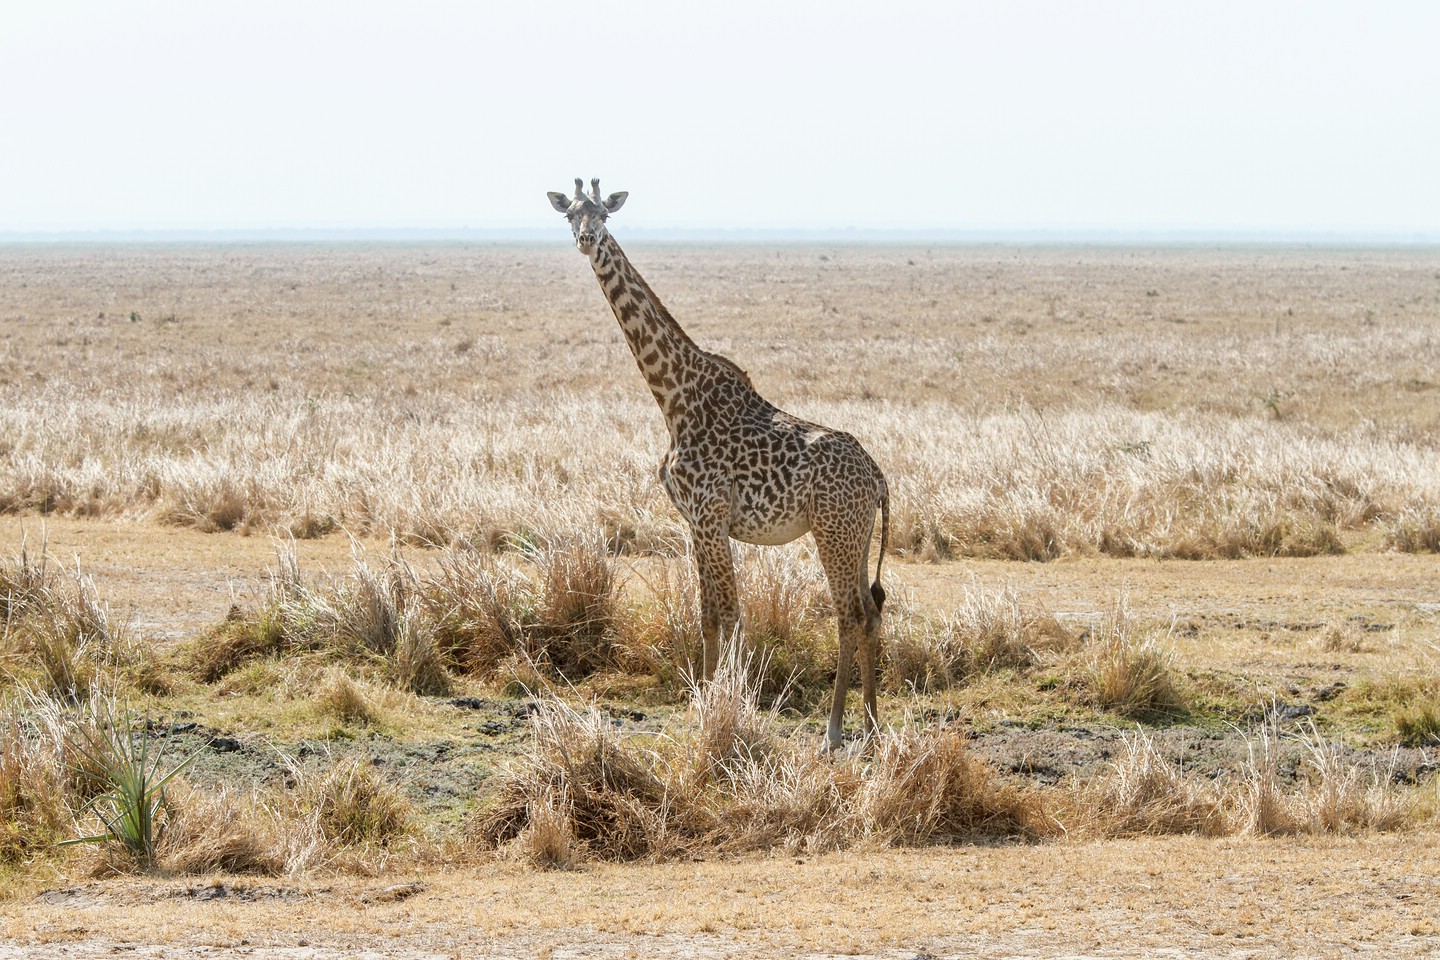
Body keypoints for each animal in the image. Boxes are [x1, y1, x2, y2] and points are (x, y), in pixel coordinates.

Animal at [550, 179, 887, 748]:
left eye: (604, 214)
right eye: (570, 214)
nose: (586, 239)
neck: (674, 399)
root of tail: (878, 476)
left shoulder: (711, 515)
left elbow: (730, 612)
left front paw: (730, 704)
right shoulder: (693, 520)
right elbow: (706, 613)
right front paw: (701, 702)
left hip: (833, 532)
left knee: (849, 614)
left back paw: (835, 730)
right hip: (857, 537)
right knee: (871, 612)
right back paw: (871, 722)